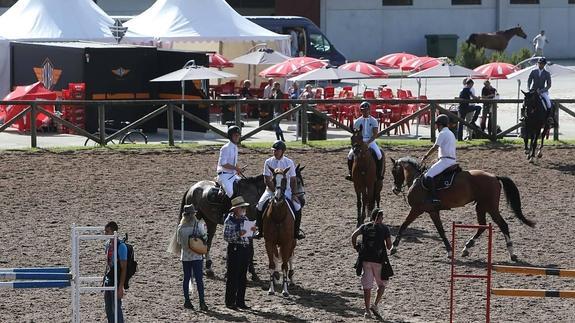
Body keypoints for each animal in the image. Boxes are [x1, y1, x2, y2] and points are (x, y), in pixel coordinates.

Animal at [390, 158, 536, 264]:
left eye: (394, 171)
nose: (395, 189)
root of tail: (495, 176)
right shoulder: (433, 212)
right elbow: (441, 231)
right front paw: (449, 251)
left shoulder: (416, 209)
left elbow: (403, 225)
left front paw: (393, 247)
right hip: (481, 207)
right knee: (482, 226)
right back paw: (467, 247)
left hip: (490, 207)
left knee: (503, 225)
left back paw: (512, 253)